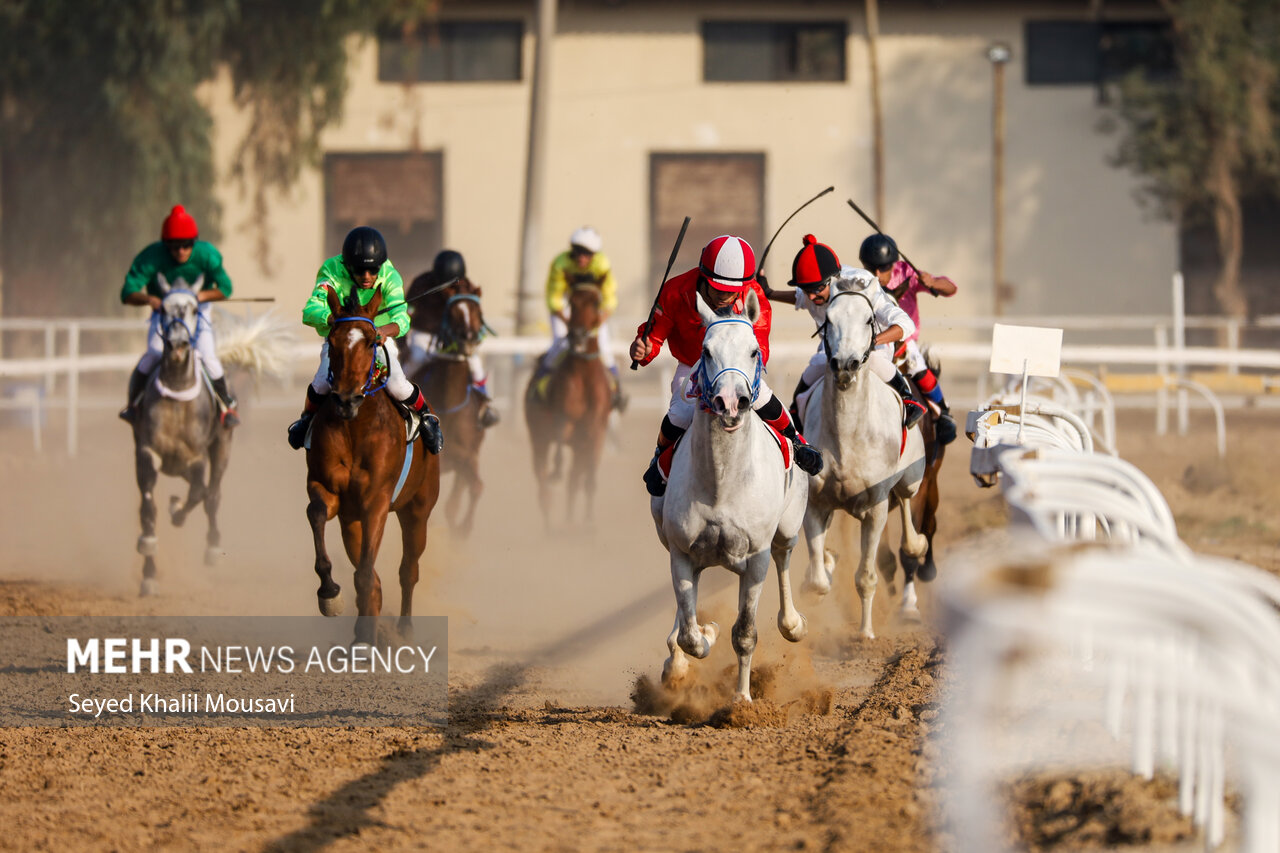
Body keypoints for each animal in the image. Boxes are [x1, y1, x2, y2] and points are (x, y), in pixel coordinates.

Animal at [303, 285, 440, 637]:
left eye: (370, 341)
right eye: (332, 341)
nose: (346, 399)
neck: (354, 428)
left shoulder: (377, 499)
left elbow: (367, 573)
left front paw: (366, 635)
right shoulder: (330, 491)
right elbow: (316, 514)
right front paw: (329, 594)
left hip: (418, 509)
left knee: (408, 570)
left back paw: (404, 628)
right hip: (351, 518)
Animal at [409, 285, 488, 537]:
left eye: (477, 311)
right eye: (452, 313)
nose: (468, 340)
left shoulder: (469, 452)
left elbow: (474, 487)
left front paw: (462, 528)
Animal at [524, 284, 614, 525]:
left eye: (595, 302)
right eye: (571, 302)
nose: (578, 336)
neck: (583, 373)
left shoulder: (596, 432)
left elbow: (588, 478)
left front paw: (588, 524)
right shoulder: (562, 418)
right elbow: (559, 443)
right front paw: (556, 471)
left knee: (574, 481)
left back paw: (571, 523)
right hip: (538, 438)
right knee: (543, 483)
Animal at [650, 289, 808, 701]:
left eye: (754, 350)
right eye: (706, 351)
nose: (730, 401)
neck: (722, 484)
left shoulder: (755, 559)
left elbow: (746, 633)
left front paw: (741, 699)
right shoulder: (681, 552)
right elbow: (690, 635)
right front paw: (703, 636)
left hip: (788, 528)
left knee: (785, 558)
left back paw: (793, 624)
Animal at [803, 289, 926, 635]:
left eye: (869, 319)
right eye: (829, 320)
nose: (846, 364)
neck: (848, 437)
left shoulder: (875, 508)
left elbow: (867, 577)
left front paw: (866, 632)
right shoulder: (815, 502)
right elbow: (818, 581)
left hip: (912, 478)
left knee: (907, 506)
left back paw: (917, 544)